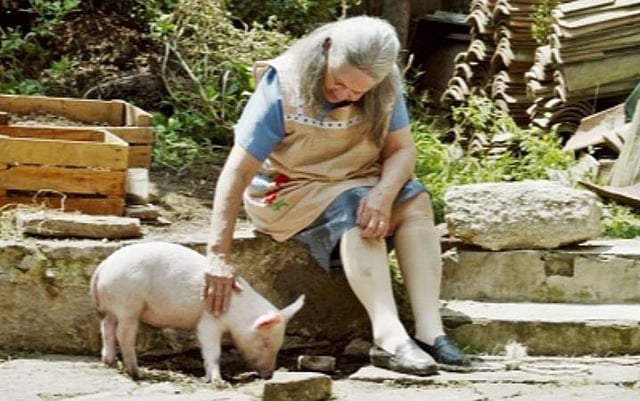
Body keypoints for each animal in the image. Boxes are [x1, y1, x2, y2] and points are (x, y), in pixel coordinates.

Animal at [89, 241, 304, 382]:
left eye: (280, 342)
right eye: (265, 342)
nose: (269, 375)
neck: (240, 313)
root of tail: (102, 268)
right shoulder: (209, 320)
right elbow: (212, 349)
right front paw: (217, 381)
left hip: (116, 306)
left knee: (106, 325)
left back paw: (108, 362)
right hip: (128, 304)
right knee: (123, 334)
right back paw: (136, 373)